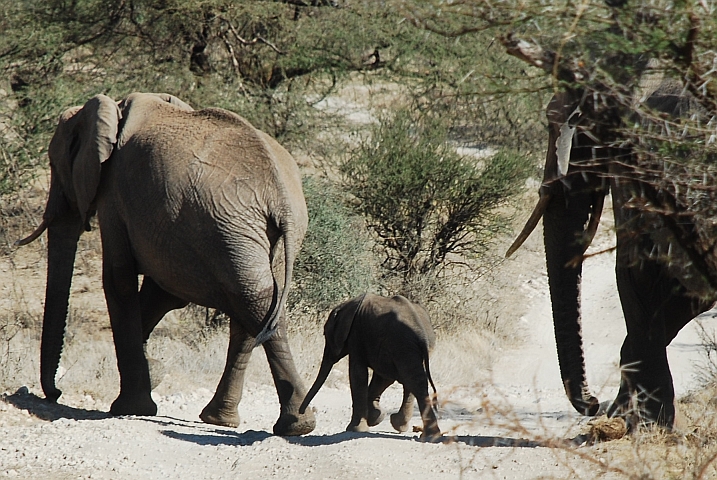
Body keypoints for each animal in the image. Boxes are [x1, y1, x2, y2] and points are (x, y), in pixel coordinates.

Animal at [14, 92, 314, 436]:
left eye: (54, 165)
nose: (55, 393)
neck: (113, 109)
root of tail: (282, 200)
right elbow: (161, 293)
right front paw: (153, 373)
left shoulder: (114, 193)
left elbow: (119, 280)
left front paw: (131, 407)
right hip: (258, 235)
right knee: (257, 307)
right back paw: (234, 419)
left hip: (230, 227)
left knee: (253, 303)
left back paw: (292, 426)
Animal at [298, 290, 442, 440]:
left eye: (325, 334)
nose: (301, 412)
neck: (347, 305)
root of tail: (422, 334)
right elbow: (383, 378)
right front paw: (375, 418)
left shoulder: (357, 335)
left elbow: (358, 373)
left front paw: (356, 428)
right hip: (409, 347)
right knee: (413, 380)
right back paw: (420, 432)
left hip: (402, 345)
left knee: (412, 380)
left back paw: (426, 435)